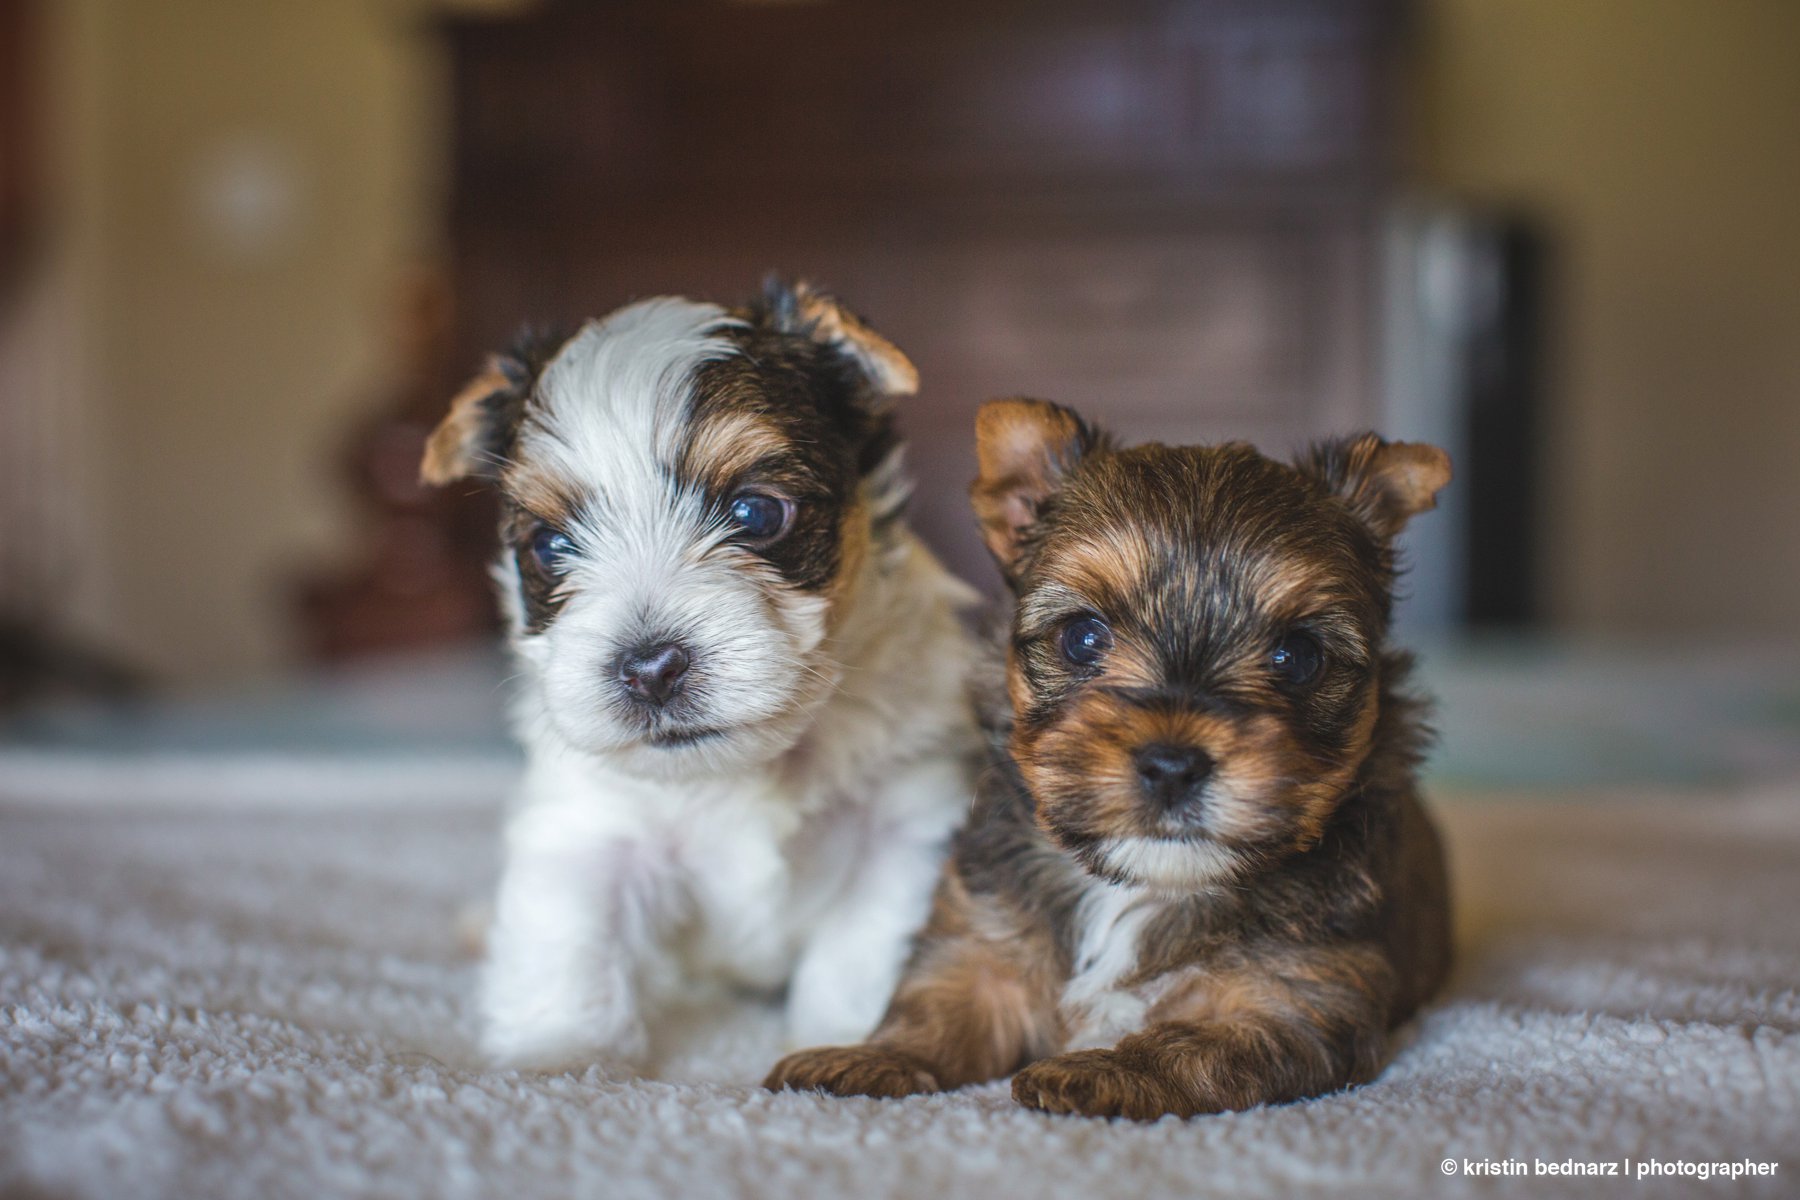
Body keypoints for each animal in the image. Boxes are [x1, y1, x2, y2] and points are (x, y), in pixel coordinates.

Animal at [421, 282, 979, 1072]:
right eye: (551, 546)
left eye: (756, 511)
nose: (650, 668)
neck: (743, 770)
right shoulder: (589, 826)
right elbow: (568, 941)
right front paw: (558, 1057)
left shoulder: (905, 821)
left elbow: (860, 950)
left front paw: (838, 1045)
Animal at [766, 399, 1454, 1122]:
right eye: (1082, 637)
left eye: (1297, 656)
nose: (1173, 766)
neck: (1141, 886)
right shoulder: (983, 942)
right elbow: (936, 1007)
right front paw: (868, 1057)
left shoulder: (1298, 996)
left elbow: (1196, 1045)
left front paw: (1100, 1071)